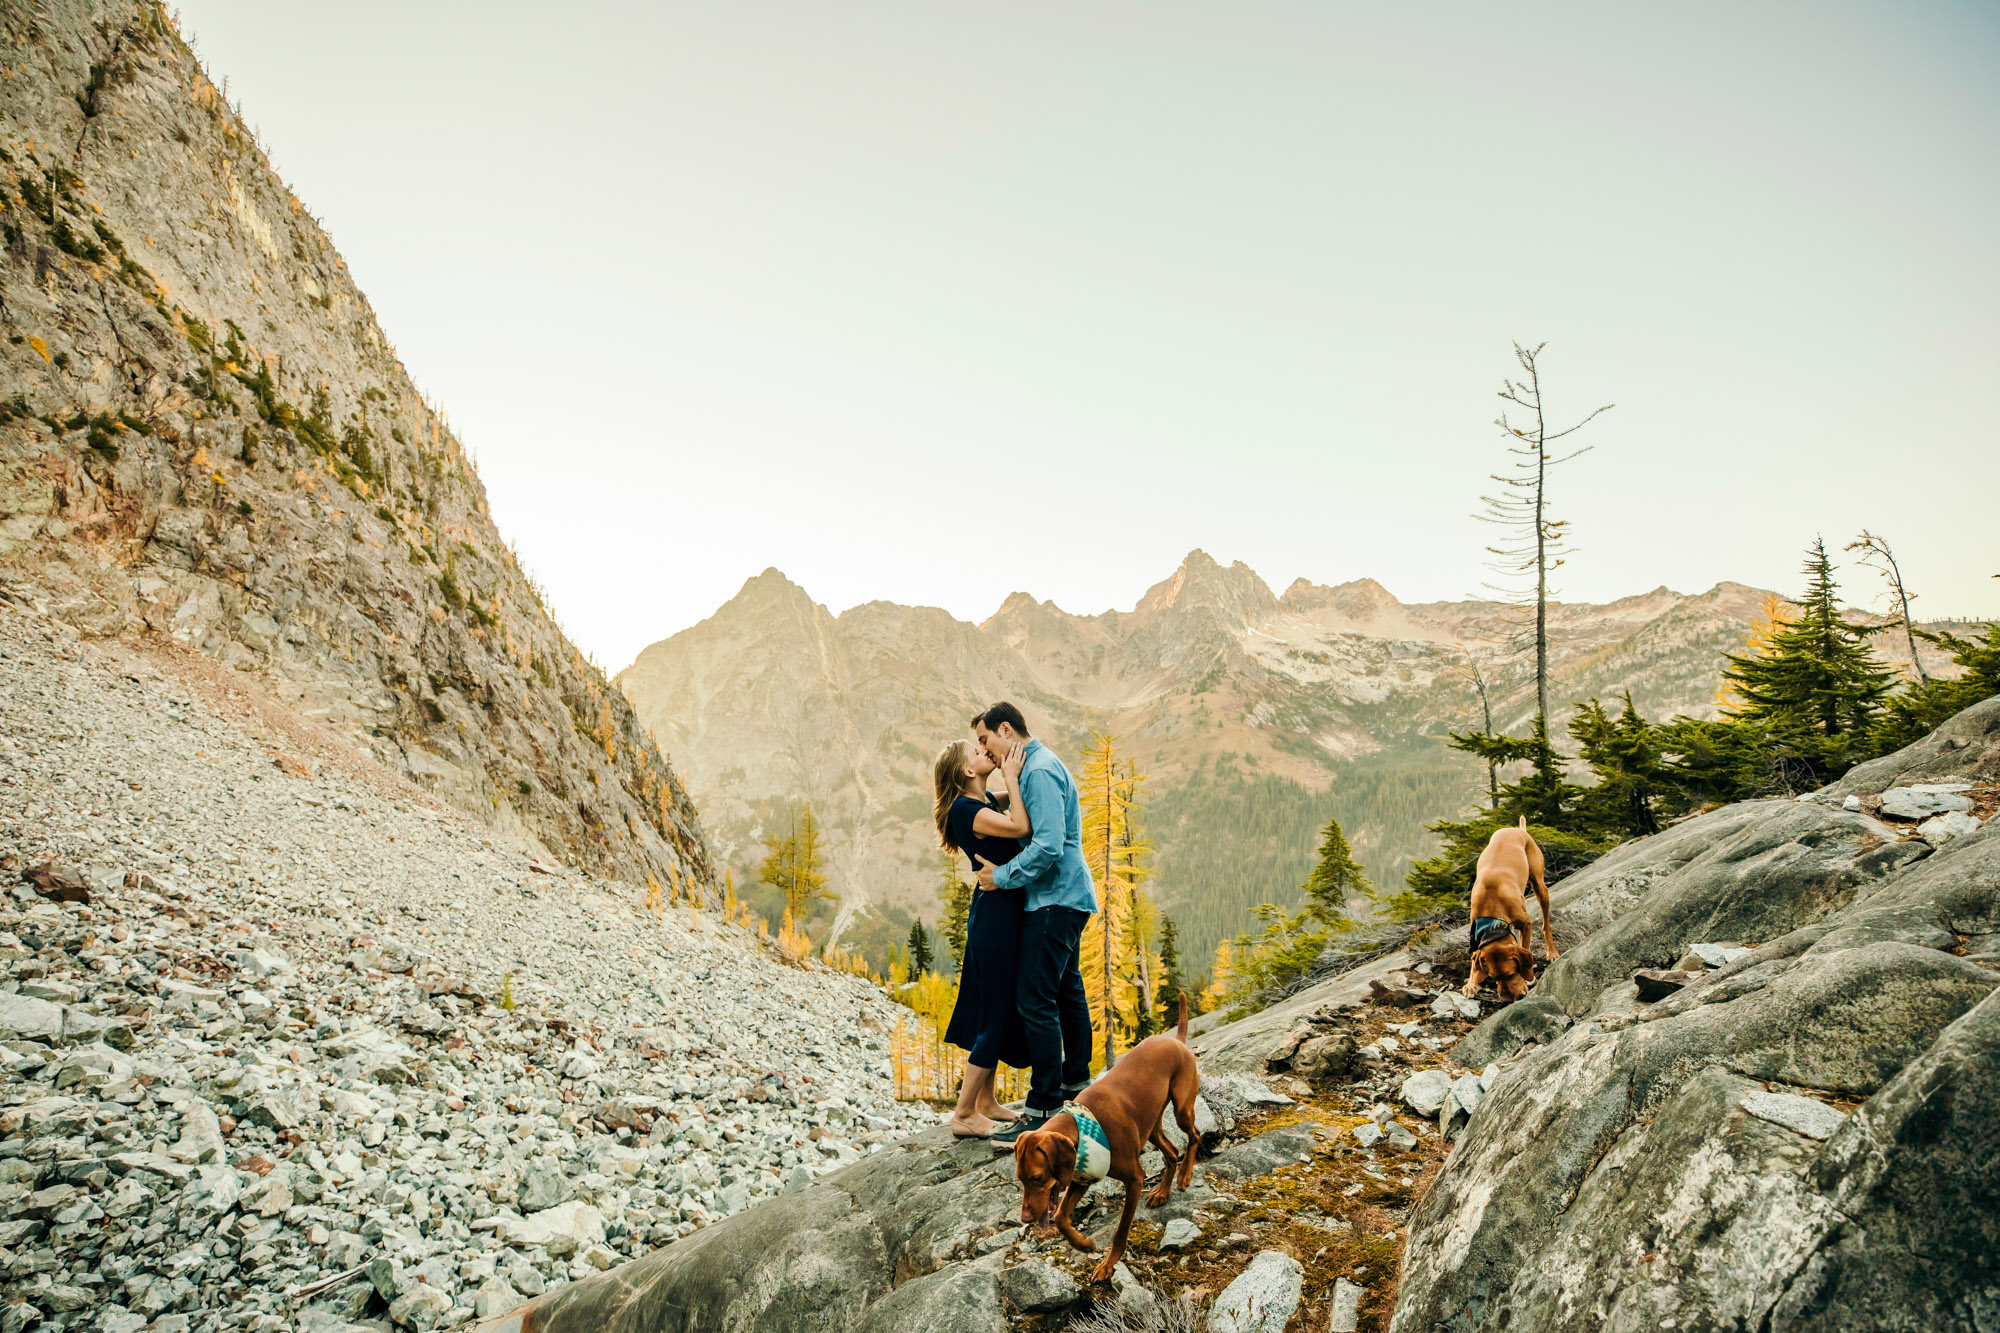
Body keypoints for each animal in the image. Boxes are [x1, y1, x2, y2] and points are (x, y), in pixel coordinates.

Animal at [1008, 996, 1192, 1280]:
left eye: (1037, 1178)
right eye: (1020, 1178)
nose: (1026, 1218)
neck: (1083, 1126)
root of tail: (1176, 1040)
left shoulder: (1135, 1180)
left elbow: (1121, 1231)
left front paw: (1108, 1263)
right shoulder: (1081, 1178)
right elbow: (1060, 1217)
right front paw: (1082, 1244)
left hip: (1182, 1108)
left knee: (1195, 1136)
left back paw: (1185, 1176)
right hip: (1151, 1127)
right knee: (1172, 1152)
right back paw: (1162, 1191)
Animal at [1464, 816, 1552, 1000]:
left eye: (1511, 974)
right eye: (1493, 977)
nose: (1508, 999)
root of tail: (1518, 829)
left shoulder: (1526, 923)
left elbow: (1525, 946)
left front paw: (1528, 979)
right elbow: (1473, 960)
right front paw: (1471, 984)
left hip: (1540, 885)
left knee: (1545, 924)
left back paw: (1552, 953)